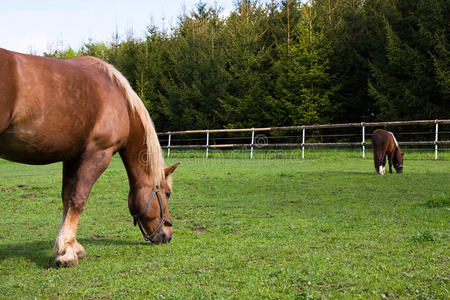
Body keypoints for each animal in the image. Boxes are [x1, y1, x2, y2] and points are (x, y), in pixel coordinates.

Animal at [0, 49, 179, 268]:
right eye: (167, 193)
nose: (167, 234)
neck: (120, 98)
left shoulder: (72, 158)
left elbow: (67, 199)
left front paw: (70, 245)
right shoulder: (98, 154)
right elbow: (78, 200)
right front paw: (67, 253)